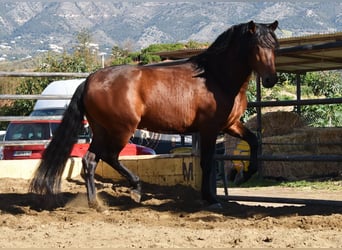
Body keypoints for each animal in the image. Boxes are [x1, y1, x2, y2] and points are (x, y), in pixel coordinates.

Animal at [30, 20, 278, 208]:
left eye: (273, 46)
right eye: (256, 47)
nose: (270, 80)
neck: (215, 78)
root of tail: (90, 80)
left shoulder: (230, 124)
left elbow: (254, 141)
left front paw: (245, 174)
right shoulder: (209, 129)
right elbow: (207, 163)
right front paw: (210, 199)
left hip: (101, 130)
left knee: (90, 161)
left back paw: (96, 204)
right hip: (121, 129)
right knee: (110, 156)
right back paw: (135, 189)